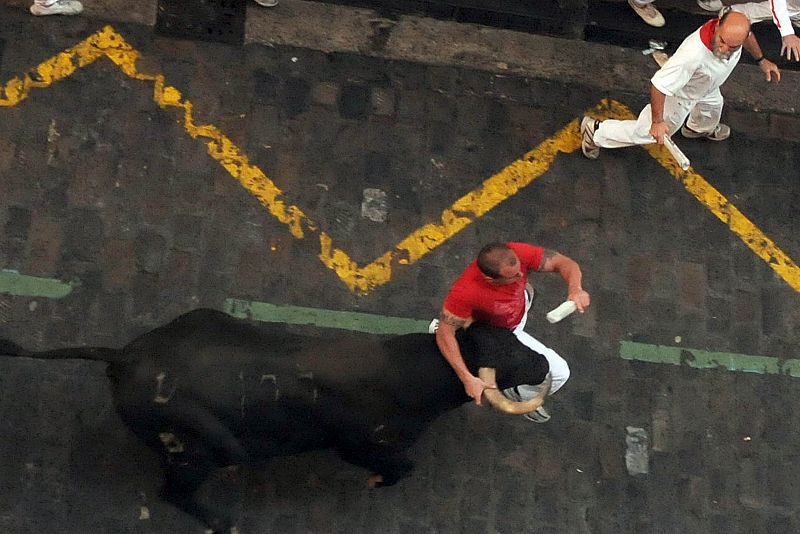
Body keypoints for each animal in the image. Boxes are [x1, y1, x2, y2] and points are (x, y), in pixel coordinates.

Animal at [0, 308, 552, 532]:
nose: (544, 366)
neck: (409, 373)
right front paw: (376, 483)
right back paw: (222, 523)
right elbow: (400, 468)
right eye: (500, 351)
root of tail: (123, 357)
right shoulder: (360, 444)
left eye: (513, 336)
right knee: (174, 492)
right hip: (197, 451)